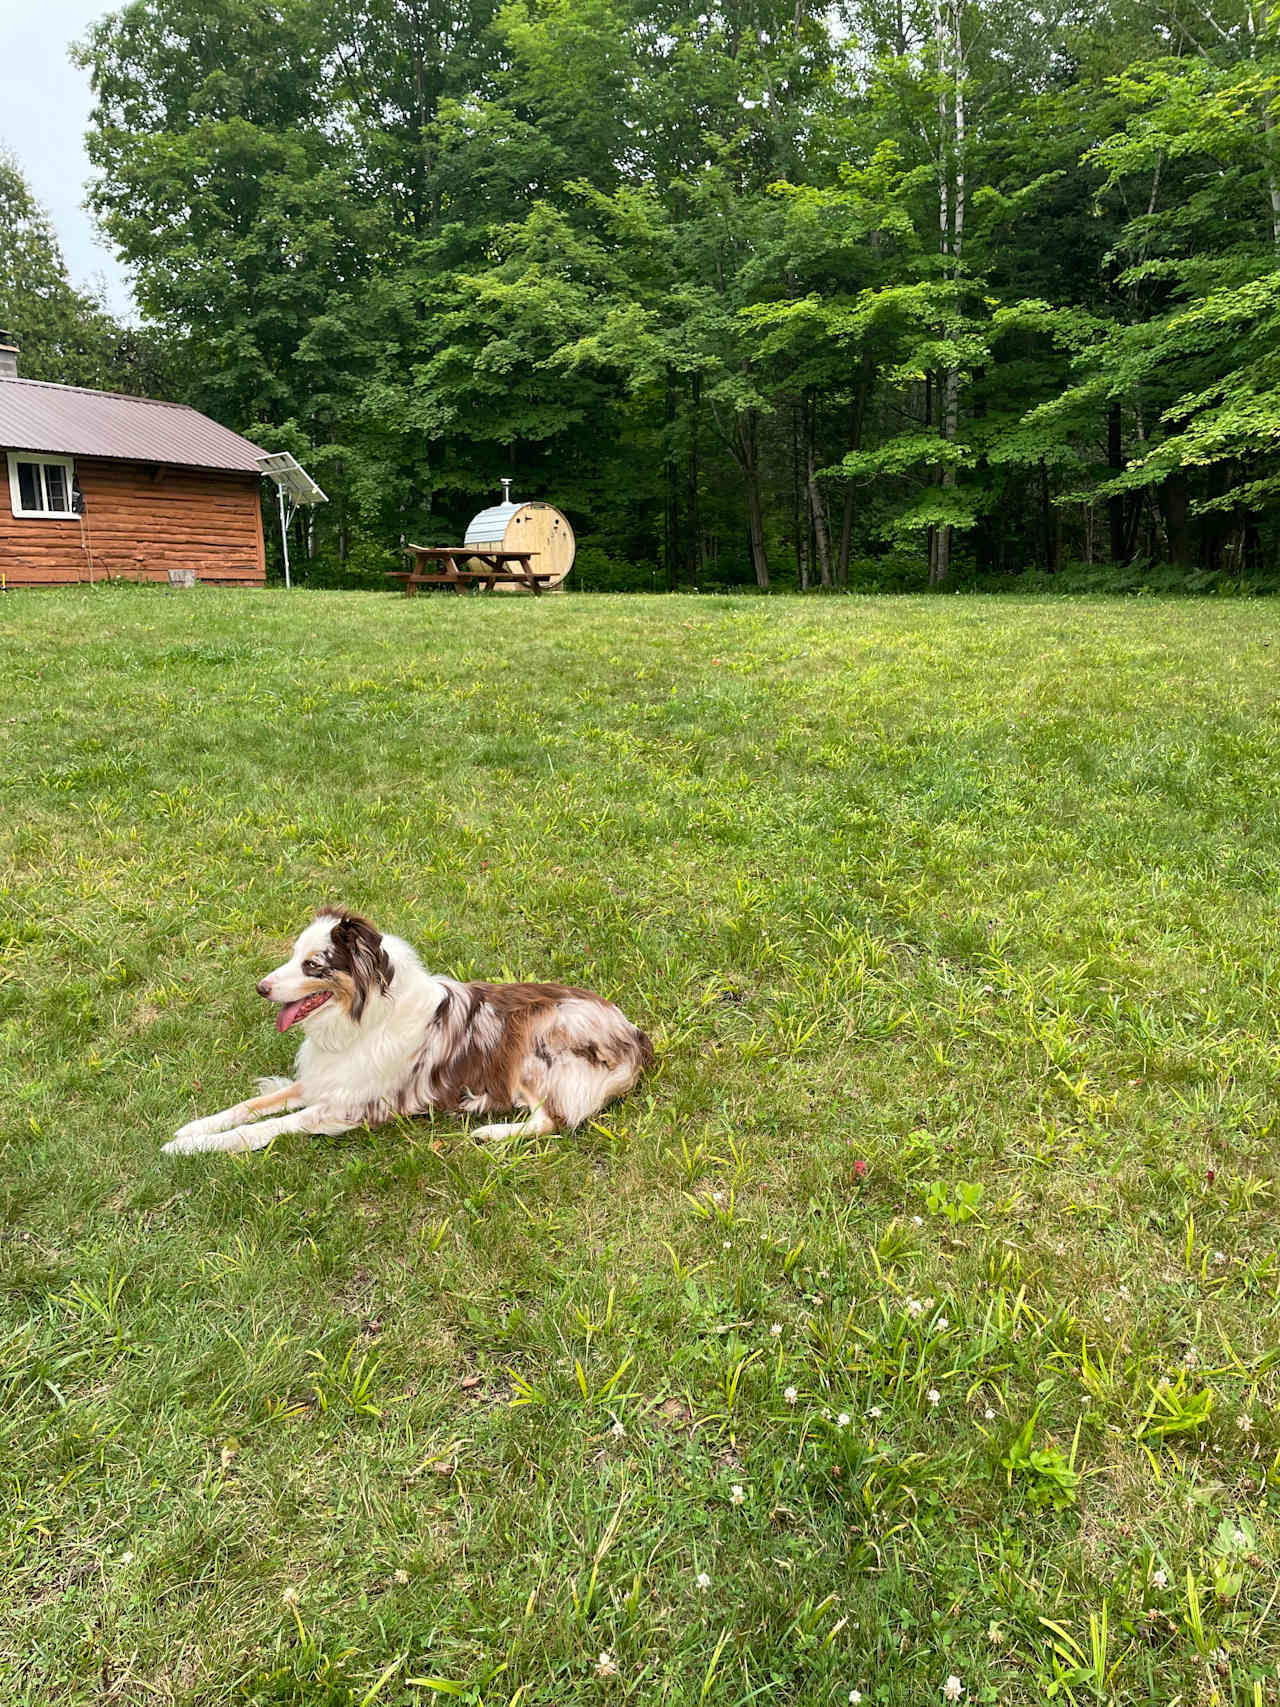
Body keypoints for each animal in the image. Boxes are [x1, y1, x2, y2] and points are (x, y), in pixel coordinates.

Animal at [163, 908, 655, 1160]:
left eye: (312, 965)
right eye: (293, 955)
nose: (260, 988)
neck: (361, 1021)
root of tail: (634, 1032)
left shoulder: (350, 1107)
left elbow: (266, 1127)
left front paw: (193, 1147)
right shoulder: (327, 1079)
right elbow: (250, 1106)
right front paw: (195, 1127)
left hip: (538, 1046)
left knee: (552, 1119)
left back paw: (490, 1132)